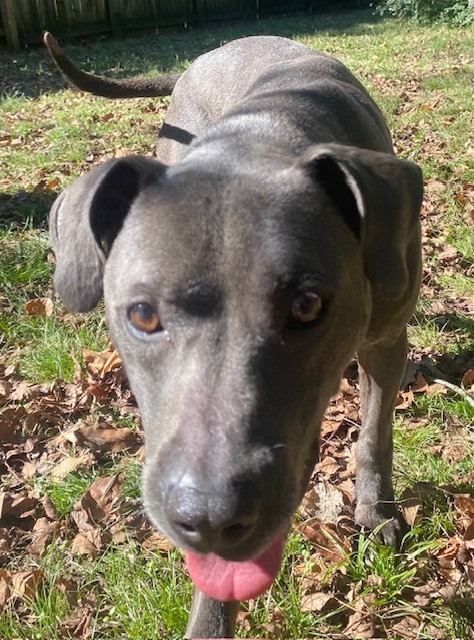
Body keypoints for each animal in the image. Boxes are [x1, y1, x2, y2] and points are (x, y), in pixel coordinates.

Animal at [43, 32, 422, 636]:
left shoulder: (386, 343)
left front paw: (375, 508)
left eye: (306, 305)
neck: (257, 141)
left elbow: (374, 434)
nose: (210, 515)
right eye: (143, 315)